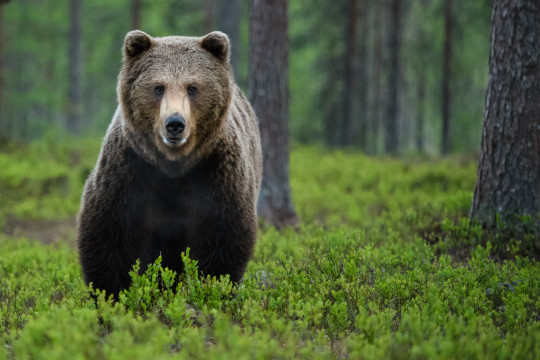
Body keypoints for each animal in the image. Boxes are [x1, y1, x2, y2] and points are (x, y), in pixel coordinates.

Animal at [77, 29, 262, 296]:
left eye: (192, 87)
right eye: (158, 87)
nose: (175, 123)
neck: (173, 165)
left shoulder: (216, 174)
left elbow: (222, 238)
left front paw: (213, 288)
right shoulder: (129, 171)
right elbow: (109, 233)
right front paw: (110, 293)